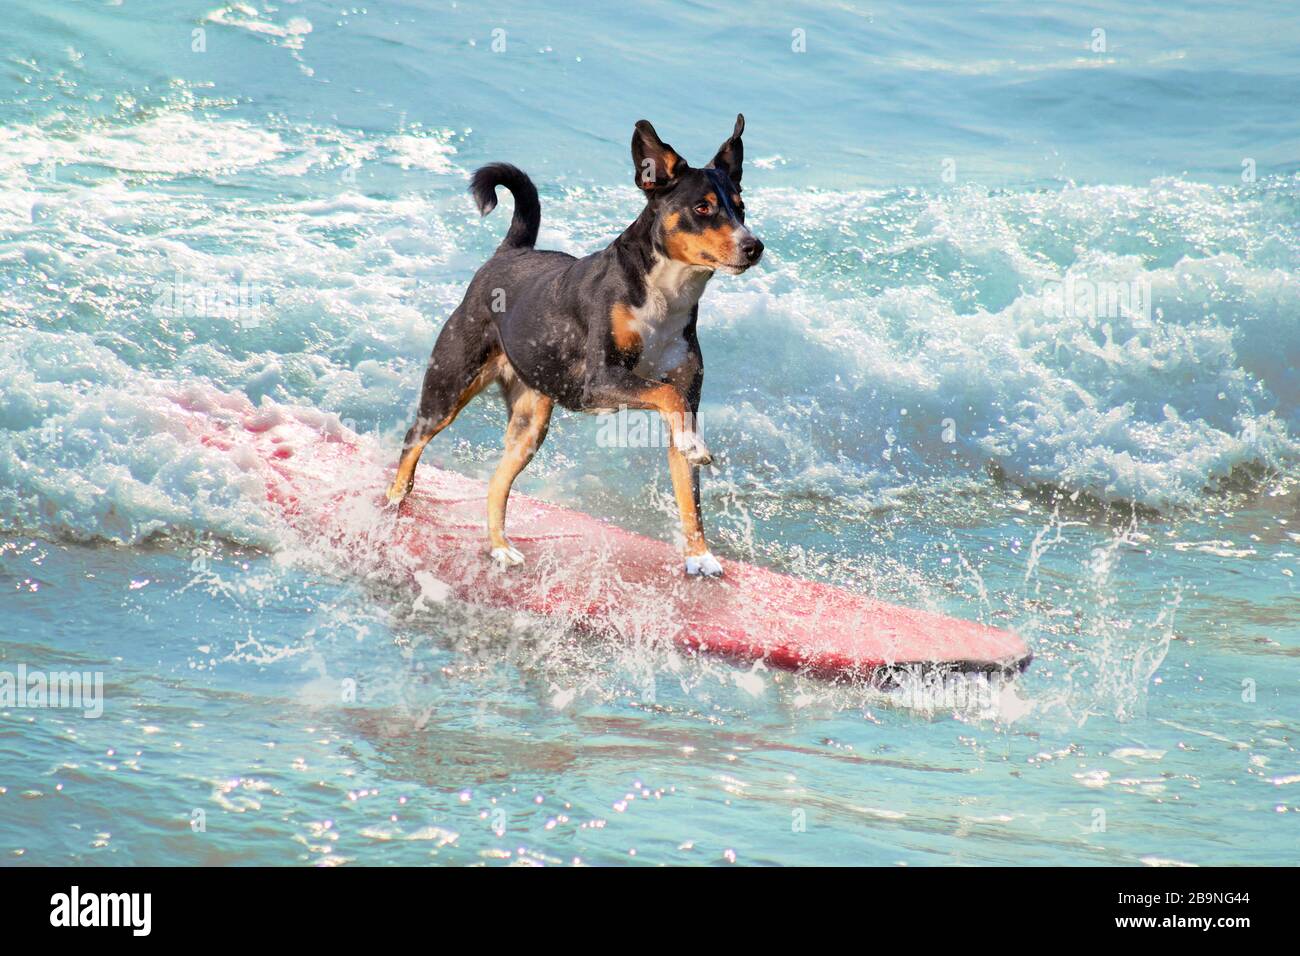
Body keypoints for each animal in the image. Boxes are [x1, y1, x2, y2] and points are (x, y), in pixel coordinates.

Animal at [379, 111, 759, 574]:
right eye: (702, 208)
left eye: (741, 208)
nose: (754, 246)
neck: (666, 295)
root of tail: (511, 252)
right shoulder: (601, 381)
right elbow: (666, 395)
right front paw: (695, 449)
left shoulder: (685, 397)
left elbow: (691, 494)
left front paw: (699, 556)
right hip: (449, 386)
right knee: (414, 439)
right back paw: (394, 499)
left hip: (529, 424)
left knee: (497, 482)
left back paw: (499, 546)